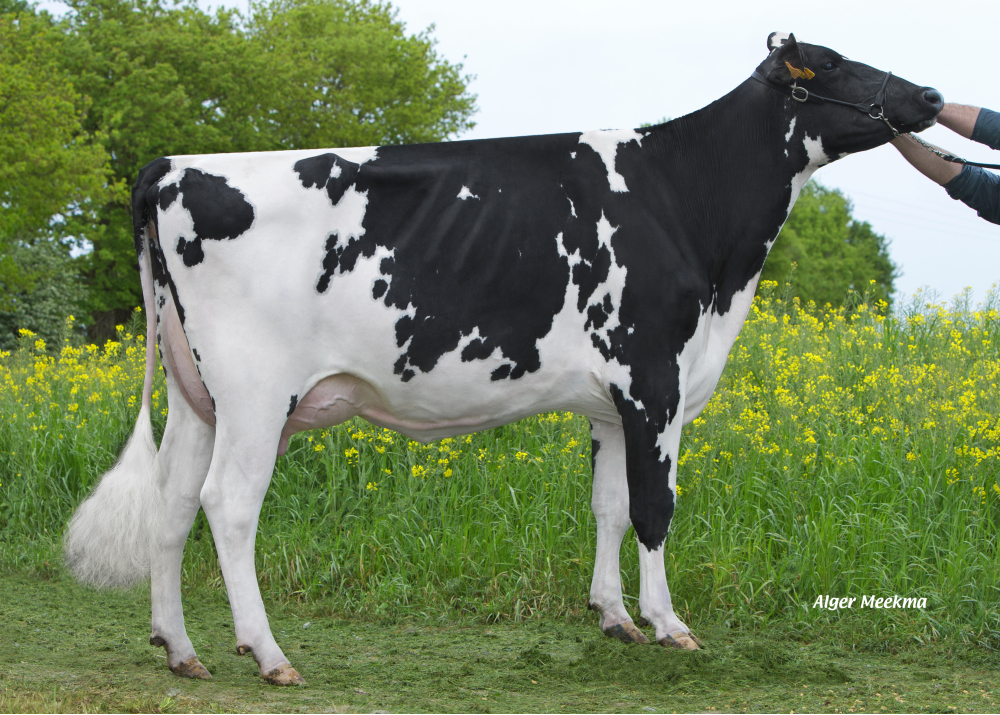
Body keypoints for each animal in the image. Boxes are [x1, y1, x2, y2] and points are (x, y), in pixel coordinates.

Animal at [66, 35, 940, 688]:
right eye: (834, 64)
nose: (931, 96)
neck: (687, 204)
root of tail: (174, 165)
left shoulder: (610, 403)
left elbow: (609, 505)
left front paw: (614, 616)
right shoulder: (654, 380)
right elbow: (655, 508)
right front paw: (670, 624)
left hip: (196, 392)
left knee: (175, 501)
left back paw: (181, 649)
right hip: (254, 391)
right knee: (229, 503)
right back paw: (269, 652)